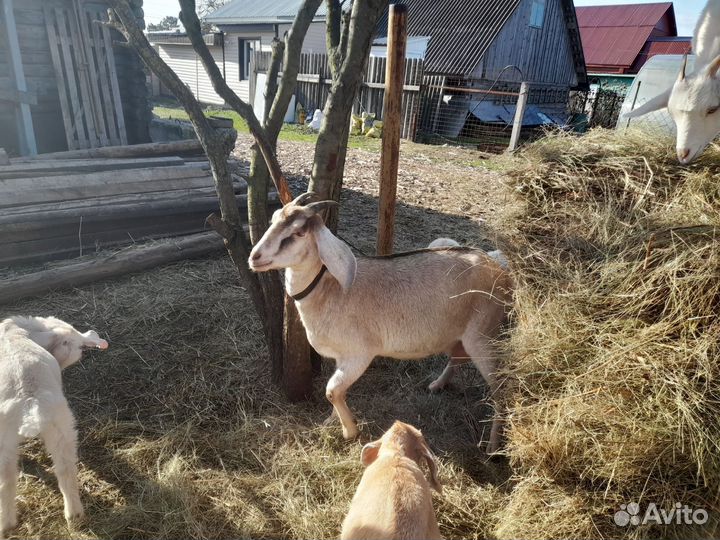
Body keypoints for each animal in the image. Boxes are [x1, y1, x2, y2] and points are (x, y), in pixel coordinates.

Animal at [0, 316, 107, 535]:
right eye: (76, 348)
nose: (94, 335)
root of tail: (30, 404)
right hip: (60, 427)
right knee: (65, 469)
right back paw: (74, 515)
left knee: (7, 480)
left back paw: (7, 525)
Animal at [248, 193, 512, 453]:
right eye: (273, 219)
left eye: (299, 232)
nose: (254, 257)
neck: (330, 289)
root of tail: (498, 266)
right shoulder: (341, 357)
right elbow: (337, 389)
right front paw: (330, 421)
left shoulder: (359, 354)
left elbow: (332, 391)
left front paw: (350, 431)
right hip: (461, 335)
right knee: (458, 358)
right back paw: (437, 385)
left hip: (484, 334)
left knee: (501, 387)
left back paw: (493, 447)